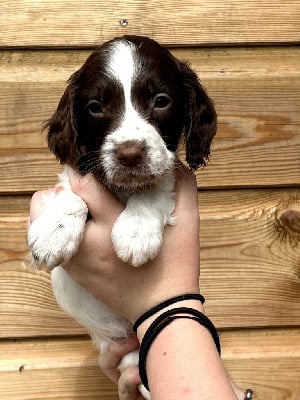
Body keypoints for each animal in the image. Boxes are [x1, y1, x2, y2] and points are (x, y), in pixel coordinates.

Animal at [27, 36, 216, 398]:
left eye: (161, 101)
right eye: (95, 107)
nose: (129, 155)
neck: (124, 189)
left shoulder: (169, 174)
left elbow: (157, 185)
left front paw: (136, 232)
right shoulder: (75, 175)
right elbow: (71, 192)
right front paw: (54, 231)